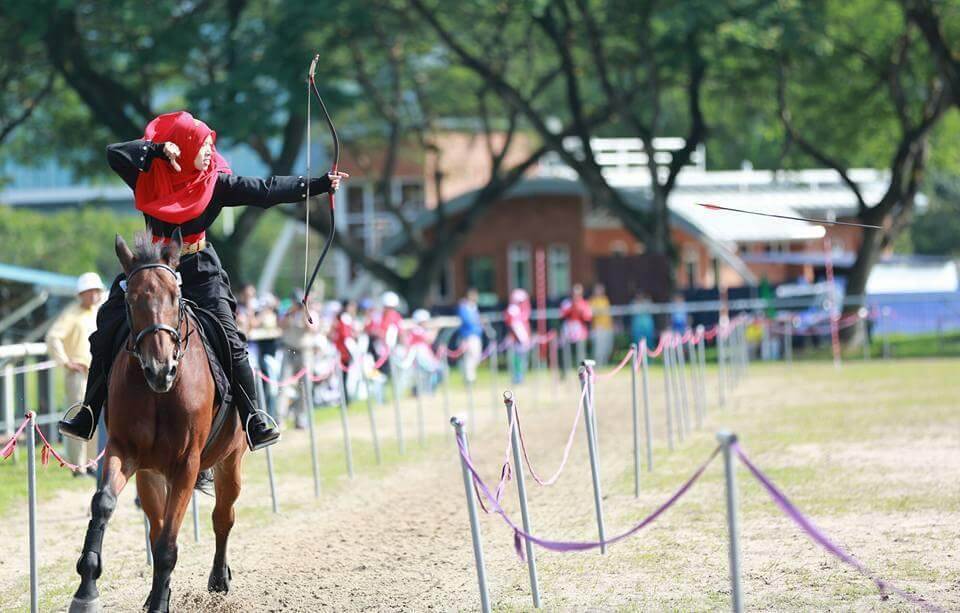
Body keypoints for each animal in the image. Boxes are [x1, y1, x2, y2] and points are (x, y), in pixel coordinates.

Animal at [69, 230, 247, 613]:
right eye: (130, 299)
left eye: (176, 296)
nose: (160, 368)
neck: (159, 395)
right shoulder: (124, 451)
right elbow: (104, 504)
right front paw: (86, 590)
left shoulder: (187, 464)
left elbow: (169, 544)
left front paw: (160, 603)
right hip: (151, 475)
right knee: (157, 525)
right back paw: (157, 590)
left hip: (230, 462)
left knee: (222, 516)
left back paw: (218, 579)